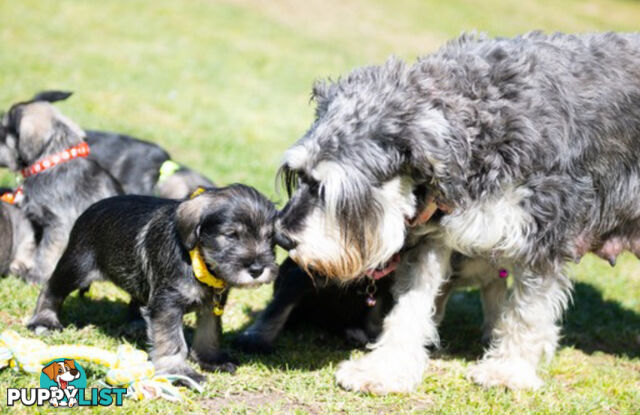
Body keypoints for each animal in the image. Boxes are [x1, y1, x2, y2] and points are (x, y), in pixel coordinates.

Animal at [28, 187, 278, 386]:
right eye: (231, 235)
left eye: (269, 238)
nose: (257, 269)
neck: (198, 261)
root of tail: (93, 207)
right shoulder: (167, 306)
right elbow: (172, 341)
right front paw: (178, 371)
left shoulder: (211, 305)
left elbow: (210, 333)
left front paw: (211, 360)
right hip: (77, 266)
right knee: (51, 288)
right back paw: (43, 321)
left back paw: (136, 325)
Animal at [278, 32, 640, 394]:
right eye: (299, 176)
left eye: (330, 191)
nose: (282, 238)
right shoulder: (432, 238)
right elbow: (410, 306)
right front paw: (385, 368)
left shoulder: (542, 238)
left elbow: (527, 312)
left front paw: (507, 370)